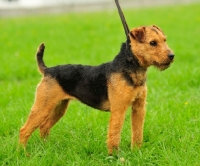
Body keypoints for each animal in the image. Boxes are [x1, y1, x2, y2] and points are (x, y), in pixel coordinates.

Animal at [19, 0, 174, 156]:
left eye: (165, 40)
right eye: (153, 43)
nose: (172, 56)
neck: (132, 67)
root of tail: (47, 70)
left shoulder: (139, 107)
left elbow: (137, 132)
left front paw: (137, 151)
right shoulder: (119, 109)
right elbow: (114, 133)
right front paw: (114, 155)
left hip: (59, 107)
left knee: (44, 127)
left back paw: (46, 148)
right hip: (43, 106)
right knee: (24, 130)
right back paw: (23, 153)